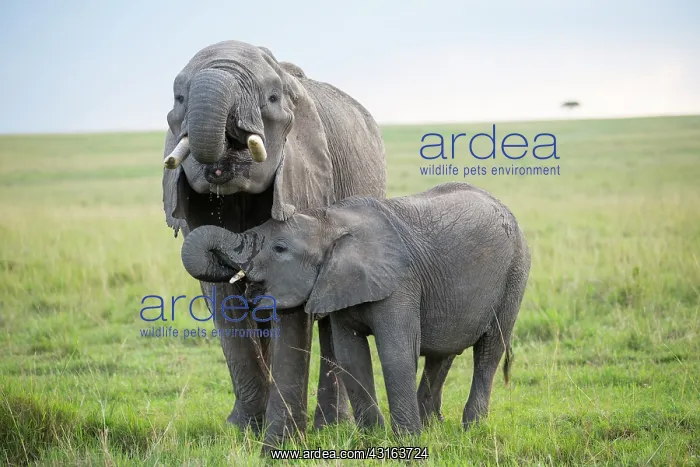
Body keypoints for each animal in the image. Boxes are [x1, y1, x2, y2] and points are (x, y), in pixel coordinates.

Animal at [161, 40, 386, 447]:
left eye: (271, 98)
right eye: (179, 99)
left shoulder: (306, 180)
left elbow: (292, 304)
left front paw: (280, 441)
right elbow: (223, 299)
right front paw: (242, 431)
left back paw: (331, 427)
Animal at [179, 181, 531, 436]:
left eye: (279, 248)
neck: (331, 220)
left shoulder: (399, 282)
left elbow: (395, 353)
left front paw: (407, 442)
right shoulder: (337, 284)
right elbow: (351, 356)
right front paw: (374, 437)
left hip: (515, 273)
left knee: (489, 349)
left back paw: (471, 428)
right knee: (442, 354)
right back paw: (432, 425)